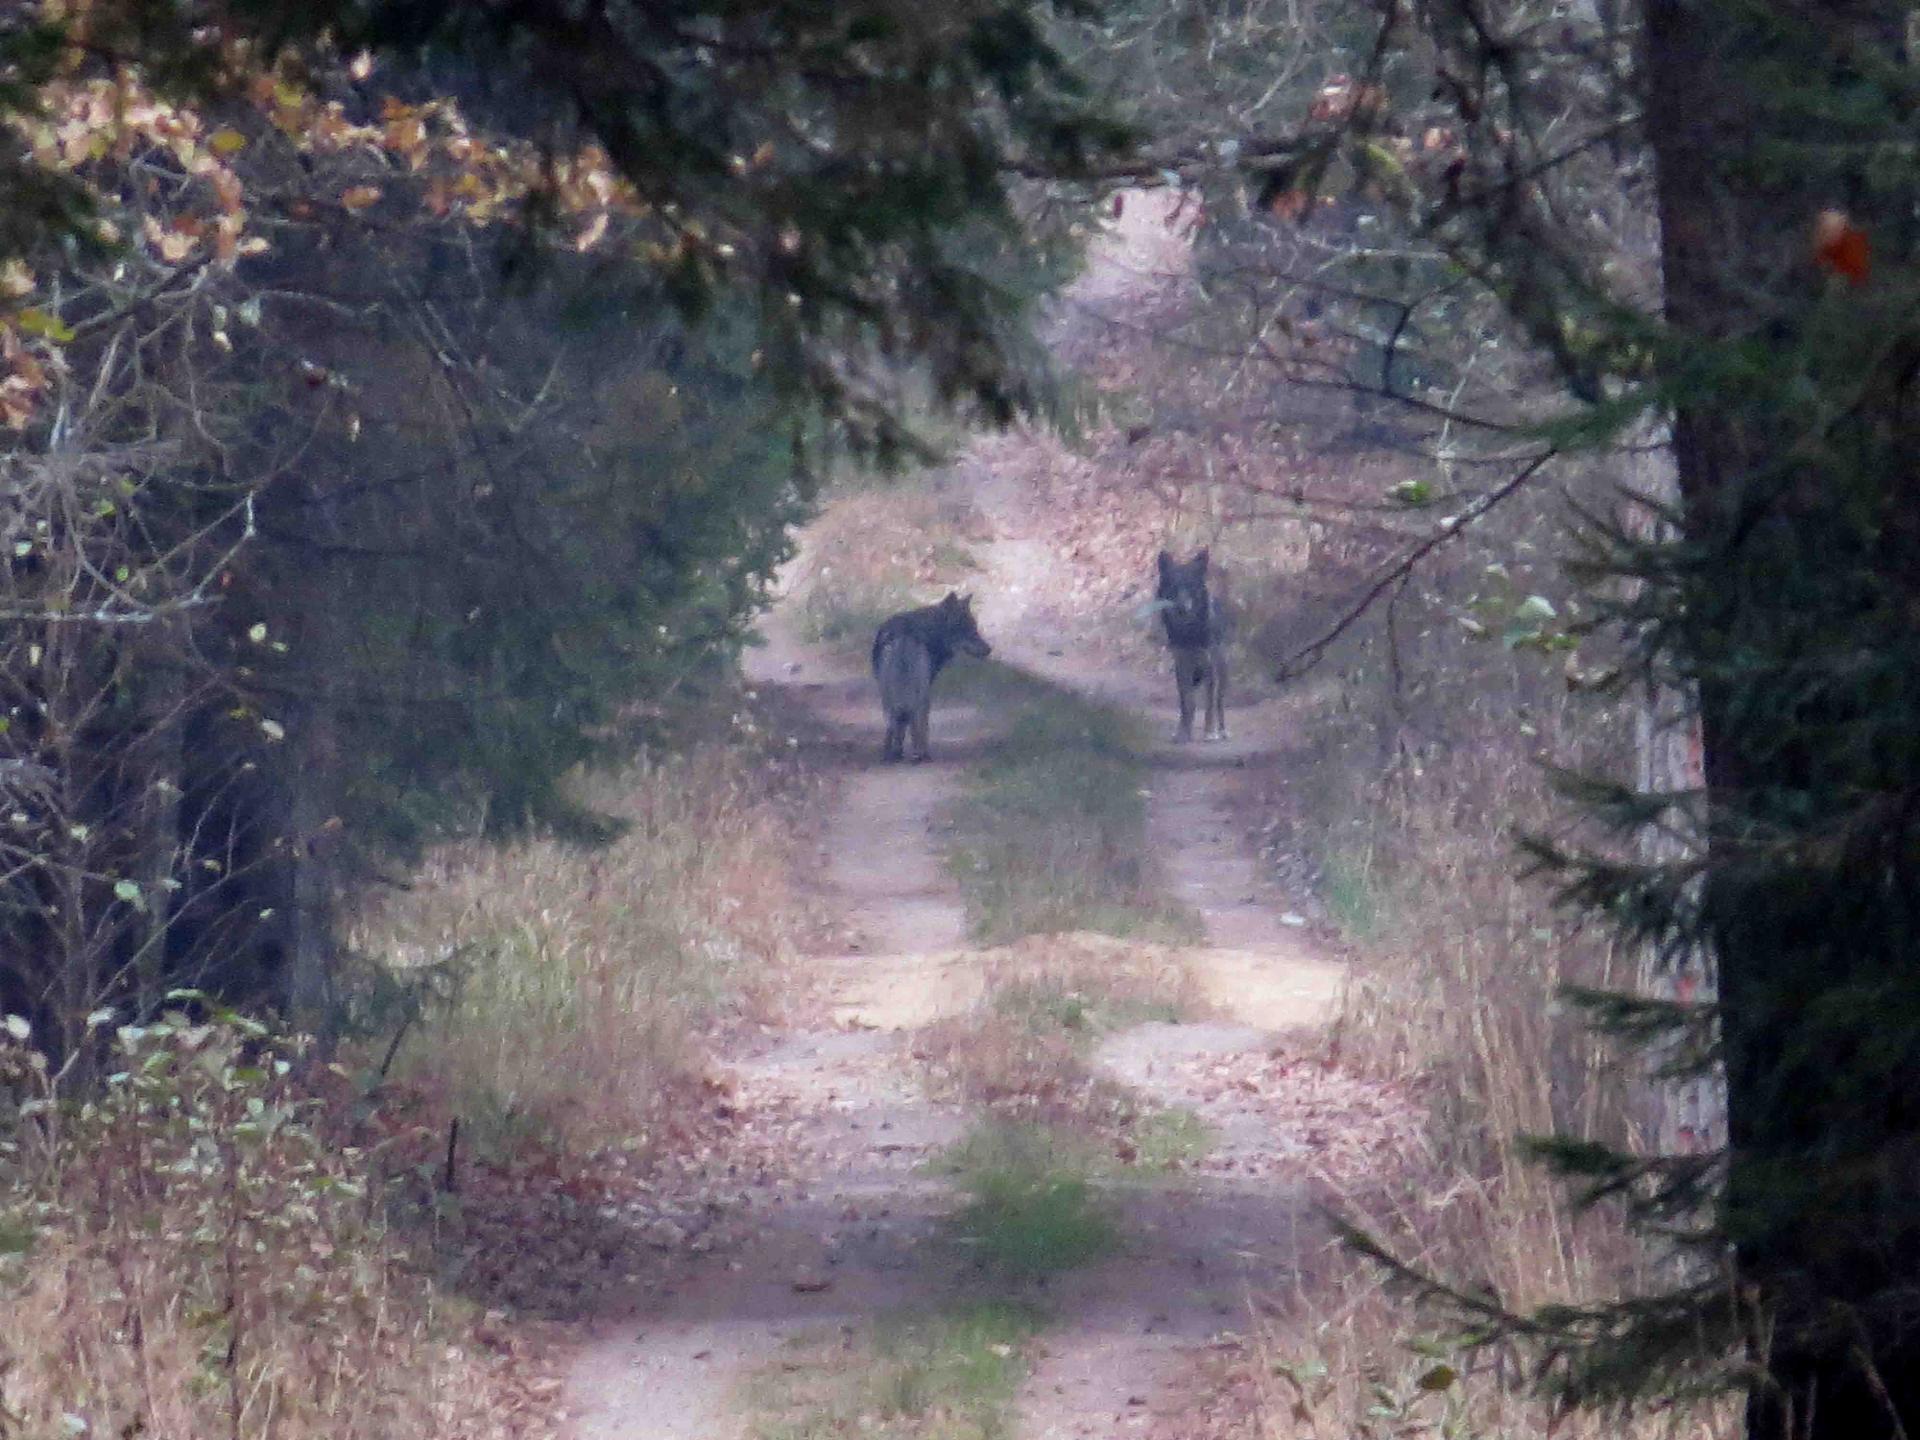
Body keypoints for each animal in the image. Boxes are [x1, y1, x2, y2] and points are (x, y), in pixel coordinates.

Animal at [871, 587, 990, 760]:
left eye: (975, 629)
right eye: (969, 630)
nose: (989, 650)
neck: (933, 627)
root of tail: (905, 633)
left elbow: (901, 724)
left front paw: (897, 750)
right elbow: (923, 724)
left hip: (887, 692)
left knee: (894, 721)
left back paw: (890, 754)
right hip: (919, 692)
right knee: (915, 718)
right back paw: (919, 754)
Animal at [1152, 545, 1228, 744]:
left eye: (1190, 587)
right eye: (1173, 587)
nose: (1181, 608)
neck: (1189, 632)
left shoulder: (1210, 665)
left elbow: (1209, 704)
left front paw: (1210, 732)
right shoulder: (1182, 664)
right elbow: (1187, 703)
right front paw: (1183, 732)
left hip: (1221, 669)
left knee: (1219, 701)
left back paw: (1222, 731)